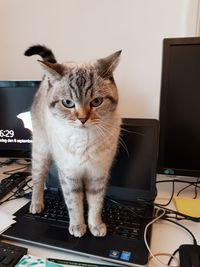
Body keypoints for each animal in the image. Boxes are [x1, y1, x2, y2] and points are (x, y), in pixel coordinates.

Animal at [25, 44, 122, 239]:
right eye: (68, 103)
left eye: (97, 101)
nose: (82, 119)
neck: (84, 141)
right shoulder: (70, 175)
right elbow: (74, 204)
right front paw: (78, 226)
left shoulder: (97, 175)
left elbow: (95, 204)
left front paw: (95, 226)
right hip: (41, 152)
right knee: (38, 179)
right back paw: (36, 205)